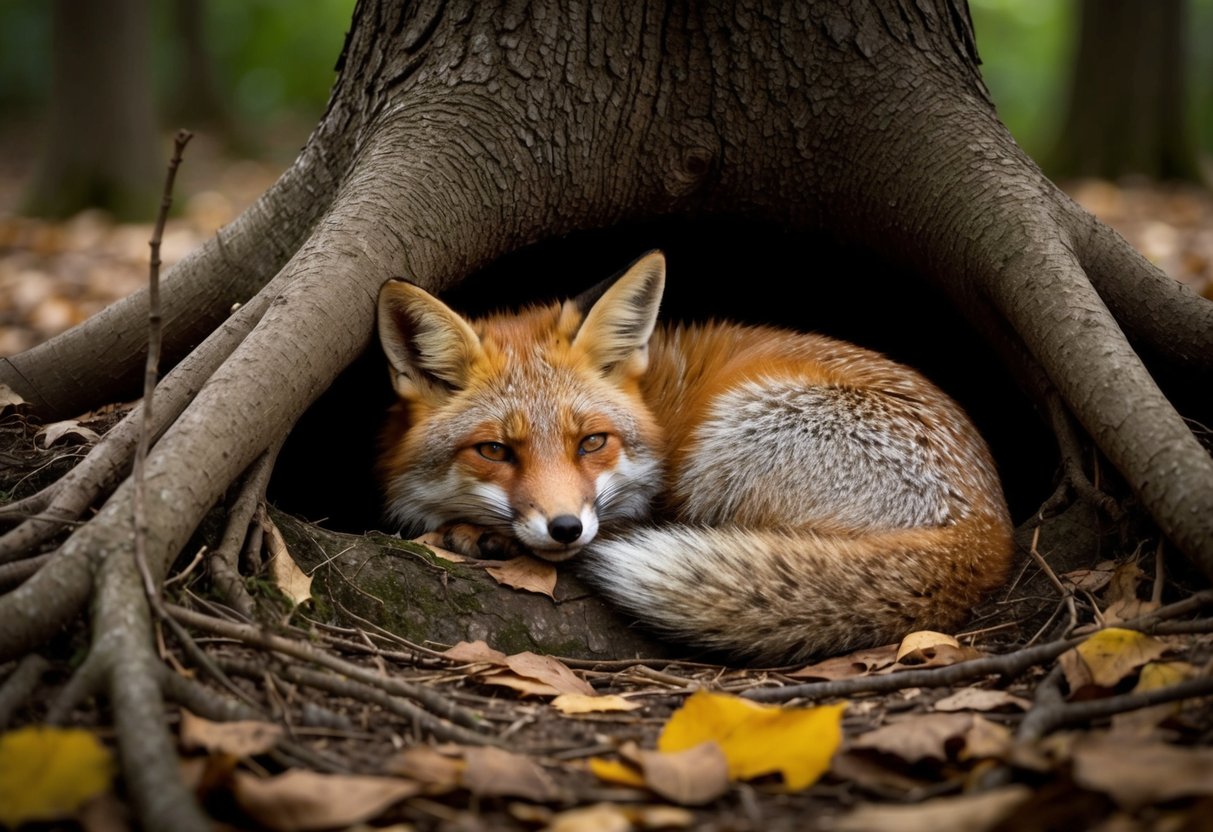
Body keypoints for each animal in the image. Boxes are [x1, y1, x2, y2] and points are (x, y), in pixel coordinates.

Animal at [375, 251, 1014, 665]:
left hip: (728, 439)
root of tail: (987, 534)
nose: (565, 528)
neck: (655, 405)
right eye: (495, 450)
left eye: (591, 442)